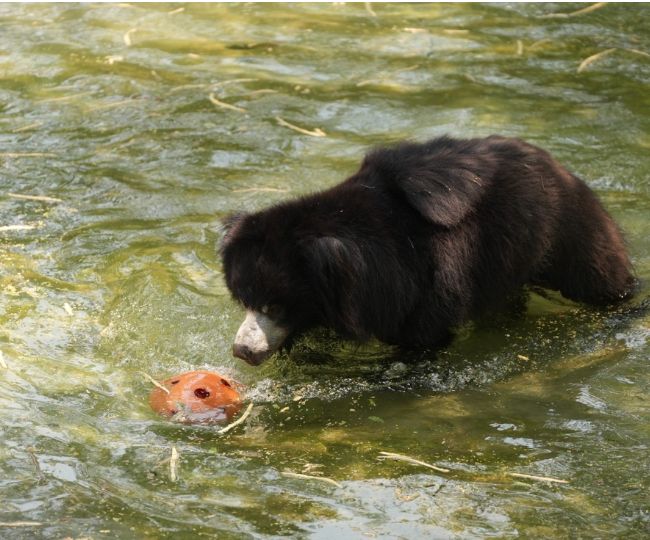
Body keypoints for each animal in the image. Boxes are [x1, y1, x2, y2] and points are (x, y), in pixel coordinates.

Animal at [220, 135, 635, 366]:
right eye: (244, 300)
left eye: (275, 306)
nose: (243, 350)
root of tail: (557, 164)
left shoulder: (422, 278)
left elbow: (423, 333)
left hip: (561, 229)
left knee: (597, 274)